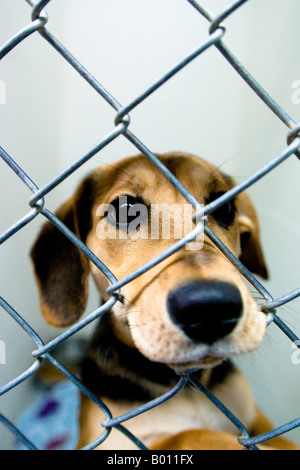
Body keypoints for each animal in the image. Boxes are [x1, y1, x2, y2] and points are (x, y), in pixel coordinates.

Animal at [30, 152, 298, 450]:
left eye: (226, 207)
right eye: (125, 209)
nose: (211, 308)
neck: (188, 388)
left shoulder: (256, 418)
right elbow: (190, 434)